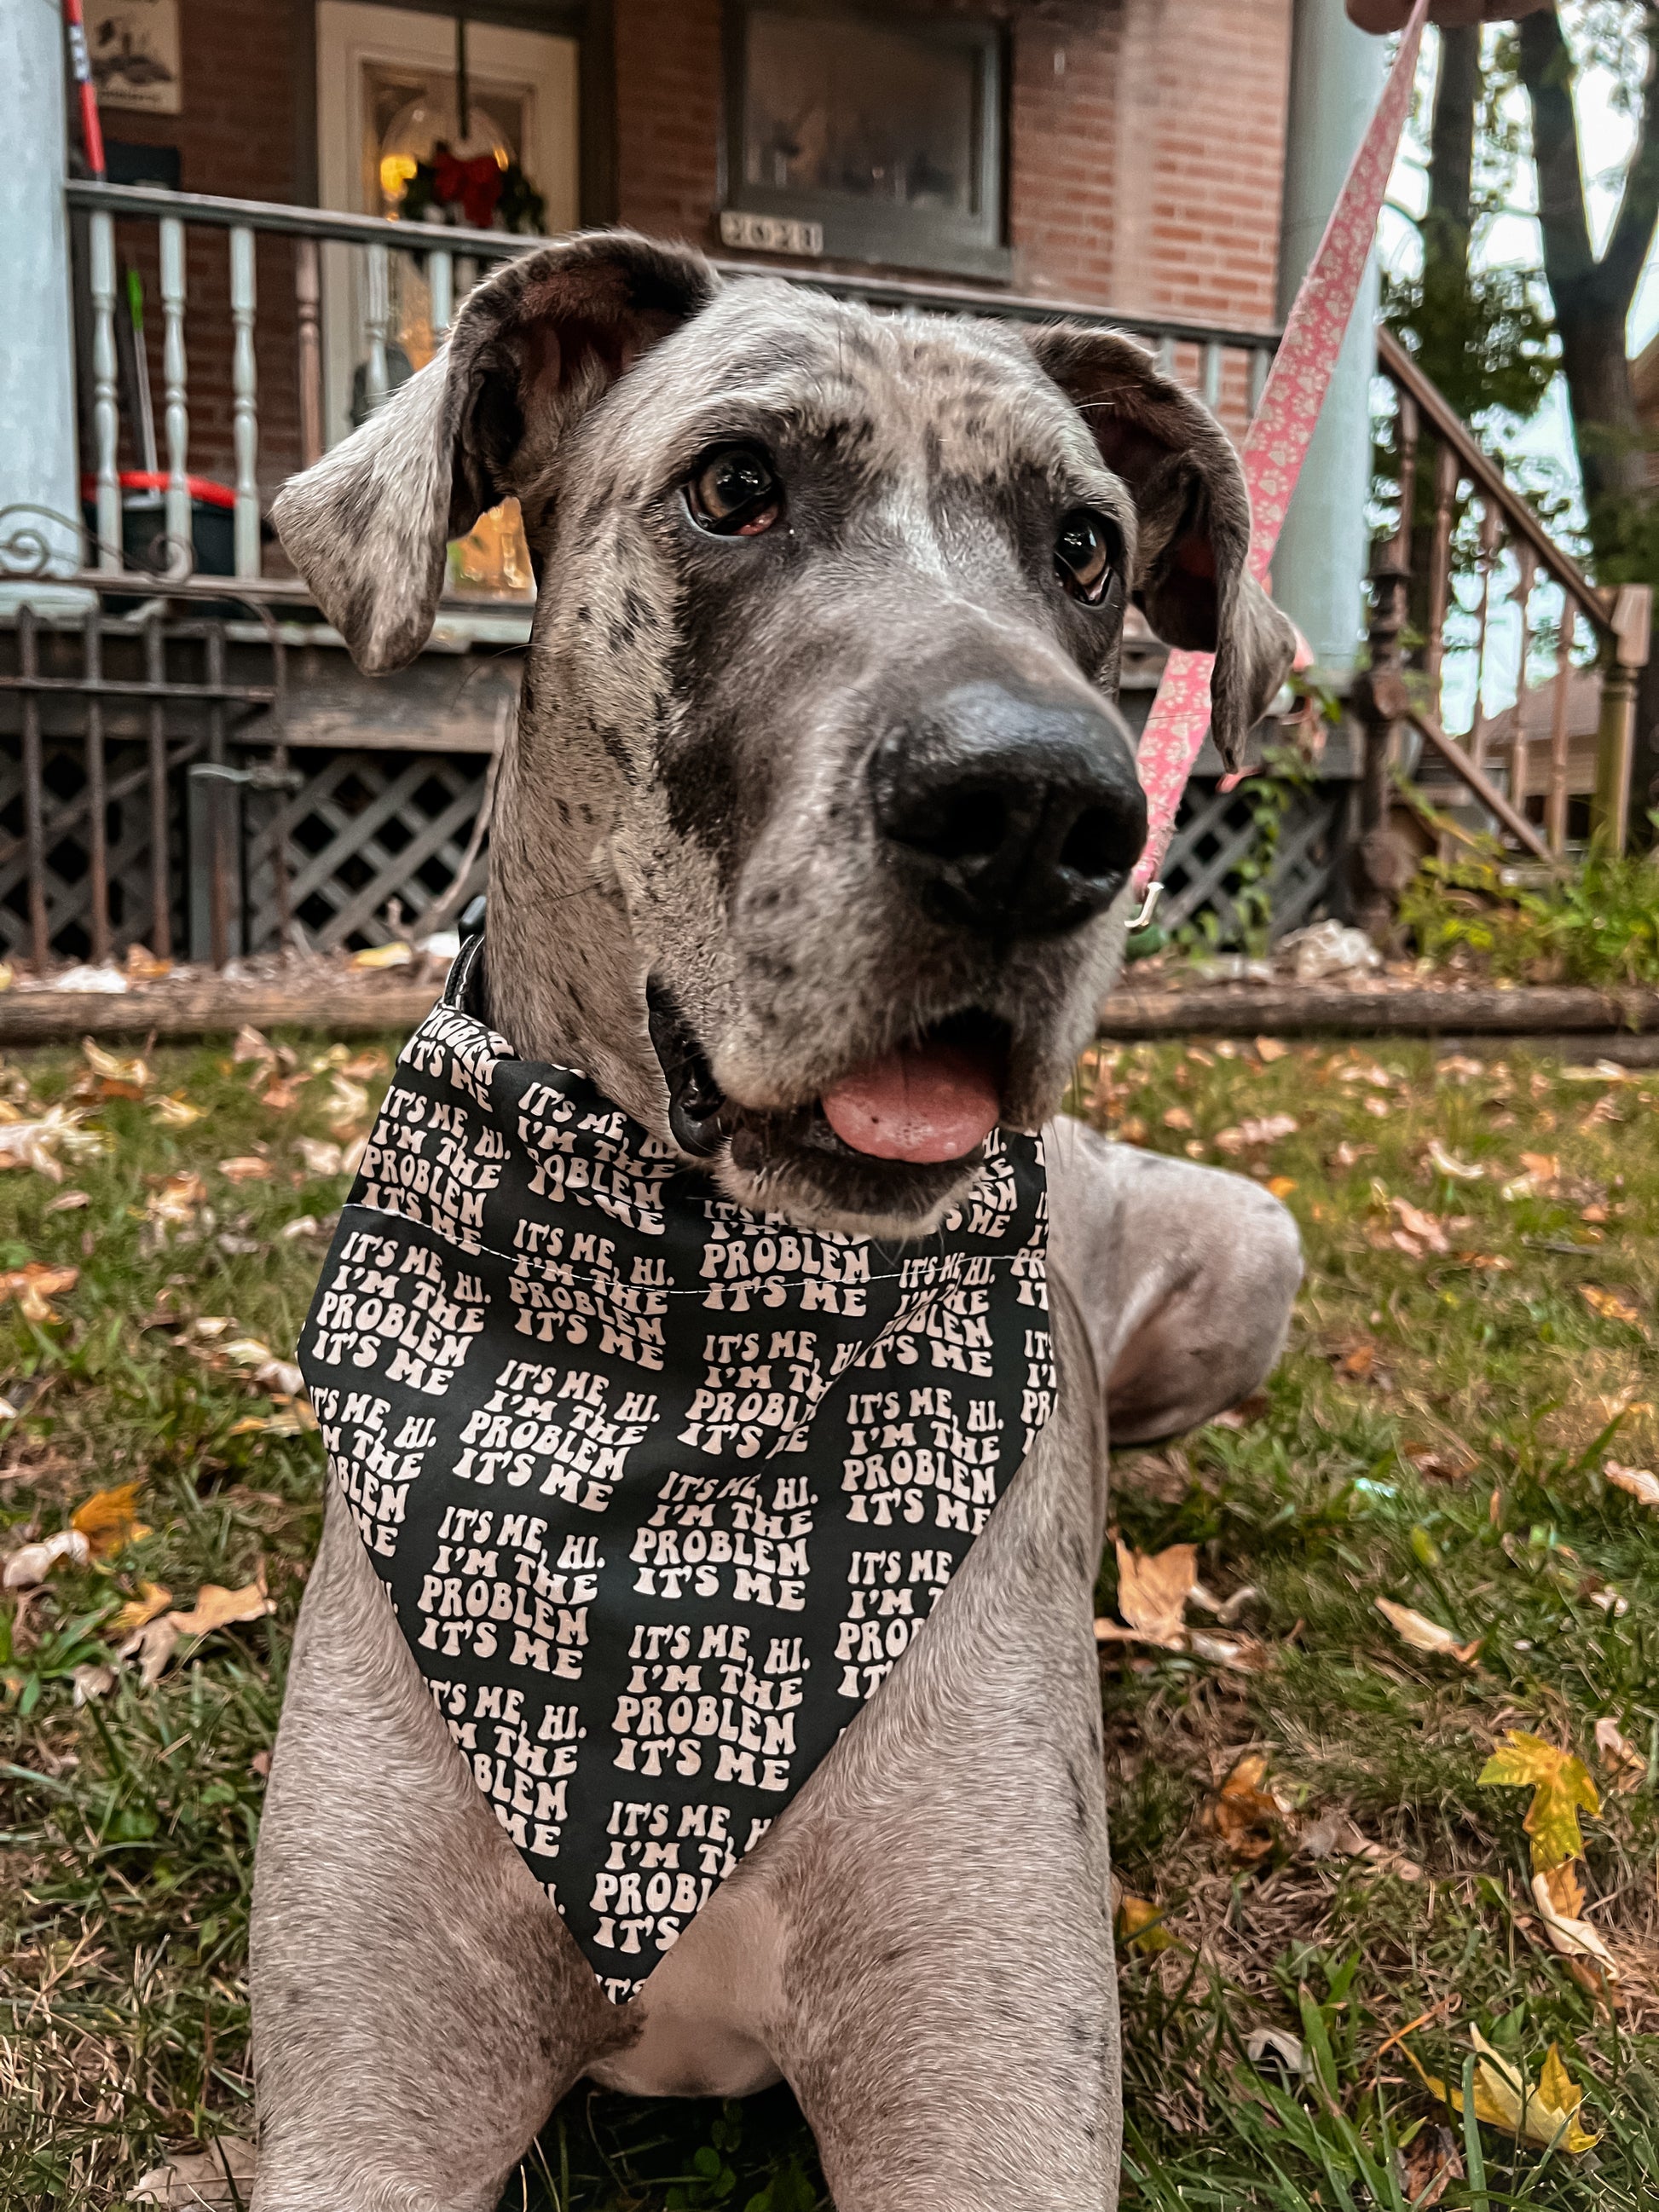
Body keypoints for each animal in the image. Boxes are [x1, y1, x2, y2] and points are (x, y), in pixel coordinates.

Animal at [253, 233, 1309, 2203]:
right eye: (733, 487)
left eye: (1087, 547)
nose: (1043, 808)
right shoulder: (361, 2114)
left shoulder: (991, 2106)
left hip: (1252, 1249)